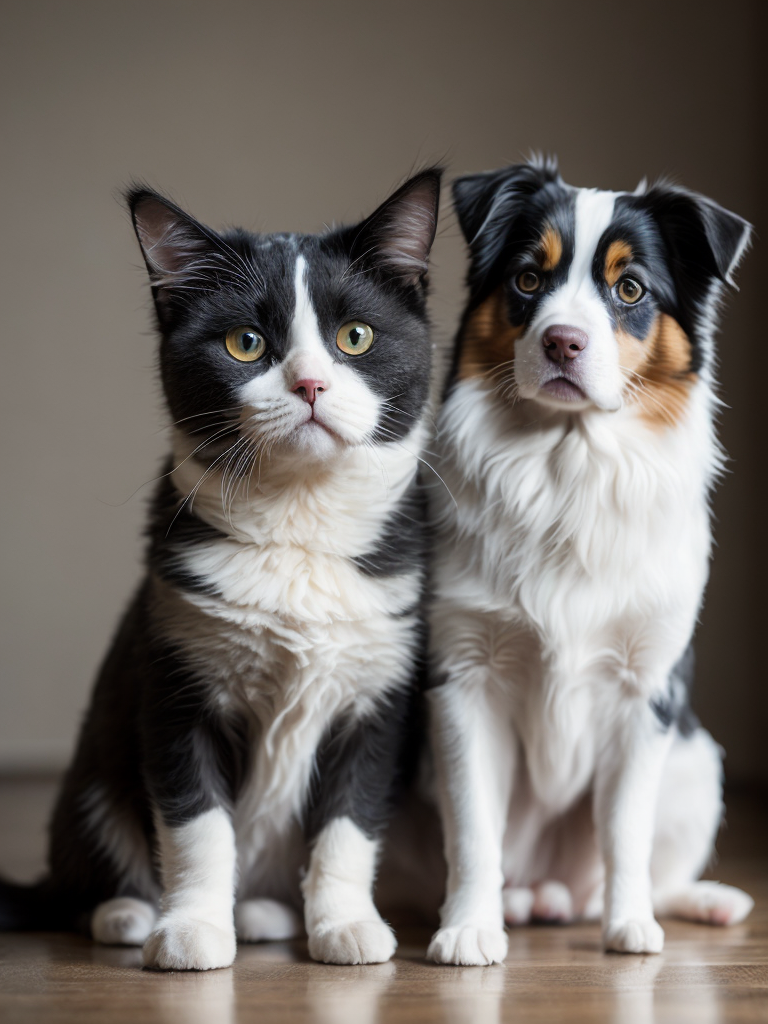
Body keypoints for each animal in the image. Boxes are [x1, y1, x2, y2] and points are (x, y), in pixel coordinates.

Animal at [0, 165, 442, 966]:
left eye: (355, 336)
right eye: (245, 344)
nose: (309, 385)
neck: (300, 526)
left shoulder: (378, 692)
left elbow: (351, 820)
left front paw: (345, 924)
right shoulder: (177, 677)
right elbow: (197, 822)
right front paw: (192, 931)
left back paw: (265, 913)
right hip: (92, 774)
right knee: (85, 869)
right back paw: (127, 913)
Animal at [428, 155, 757, 962]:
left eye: (630, 288)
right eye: (526, 278)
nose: (562, 343)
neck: (567, 461)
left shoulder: (646, 688)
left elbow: (625, 829)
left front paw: (629, 925)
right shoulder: (465, 678)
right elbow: (474, 829)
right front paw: (468, 928)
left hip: (699, 761)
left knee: (654, 863)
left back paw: (700, 900)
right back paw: (523, 904)